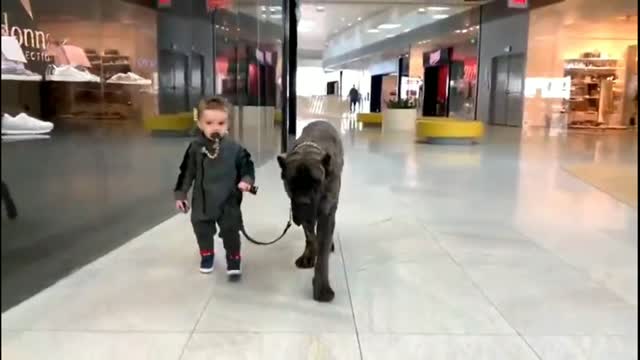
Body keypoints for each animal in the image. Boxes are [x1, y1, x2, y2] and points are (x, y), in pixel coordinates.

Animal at [276, 120, 342, 300]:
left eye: (316, 183)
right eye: (291, 183)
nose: (303, 202)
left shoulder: (327, 211)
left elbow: (323, 255)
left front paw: (322, 287)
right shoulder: (306, 218)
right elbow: (310, 236)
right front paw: (309, 255)